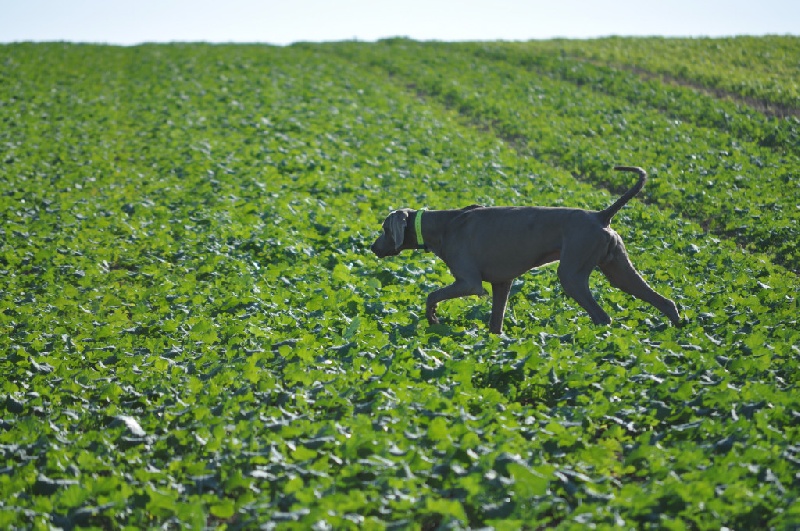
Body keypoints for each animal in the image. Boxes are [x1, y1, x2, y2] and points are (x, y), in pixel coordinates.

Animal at [370, 166, 680, 332]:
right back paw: (677, 336)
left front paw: (433, 319)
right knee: (666, 302)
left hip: (572, 275)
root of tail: (600, 216)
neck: (444, 225)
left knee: (602, 317)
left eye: (384, 229)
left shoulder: (469, 283)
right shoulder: (501, 284)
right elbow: (495, 323)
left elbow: (431, 295)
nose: (372, 248)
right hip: (619, 271)